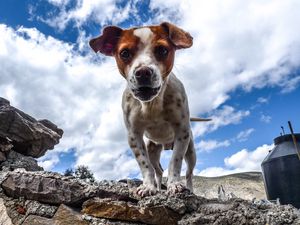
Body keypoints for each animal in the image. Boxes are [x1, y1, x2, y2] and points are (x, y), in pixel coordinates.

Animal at [90, 22, 198, 196]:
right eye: (124, 53)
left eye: (162, 50)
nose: (143, 72)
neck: (151, 104)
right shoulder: (134, 136)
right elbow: (145, 165)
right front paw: (148, 186)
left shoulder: (182, 132)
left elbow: (175, 161)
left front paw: (174, 184)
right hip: (153, 149)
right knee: (158, 170)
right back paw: (159, 187)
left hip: (191, 151)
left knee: (189, 173)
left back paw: (189, 188)